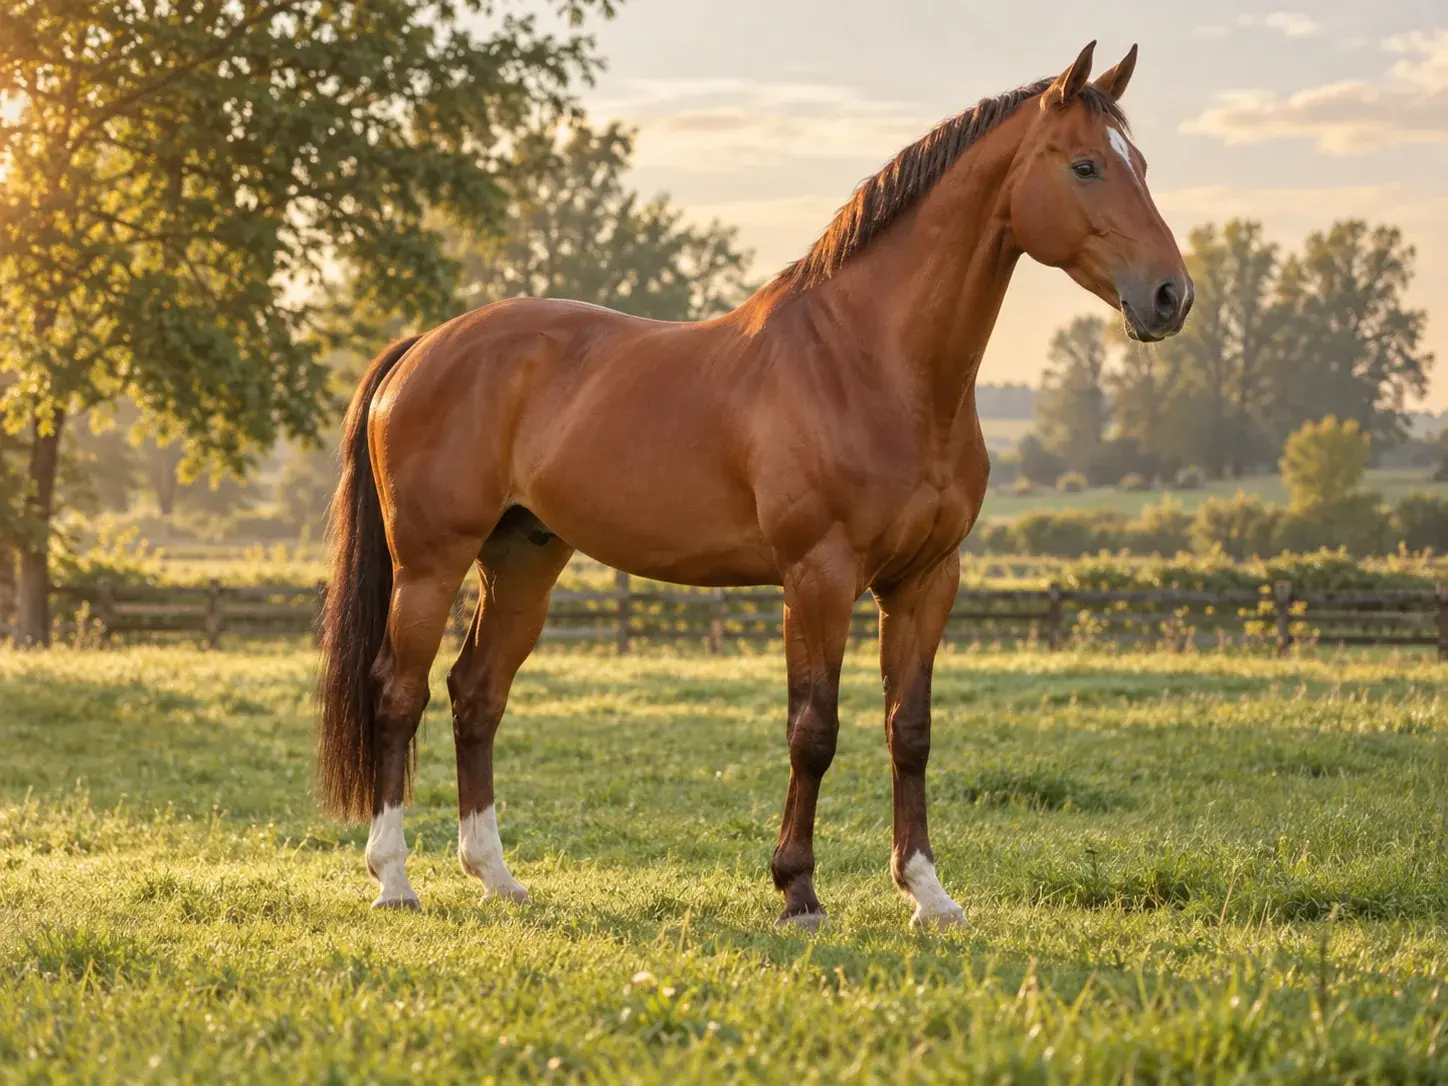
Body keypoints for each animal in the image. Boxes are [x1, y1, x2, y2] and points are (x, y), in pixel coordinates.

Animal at [316, 41, 1192, 928]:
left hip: (524, 560)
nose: (1169, 296)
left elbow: (908, 731)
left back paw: (494, 874)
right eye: (1085, 165)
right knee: (399, 694)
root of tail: (426, 345)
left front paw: (927, 891)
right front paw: (797, 891)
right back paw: (394, 879)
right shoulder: (817, 577)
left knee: (476, 695)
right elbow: (814, 730)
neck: (869, 364)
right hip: (431, 564)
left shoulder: (926, 581)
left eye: (1142, 165)